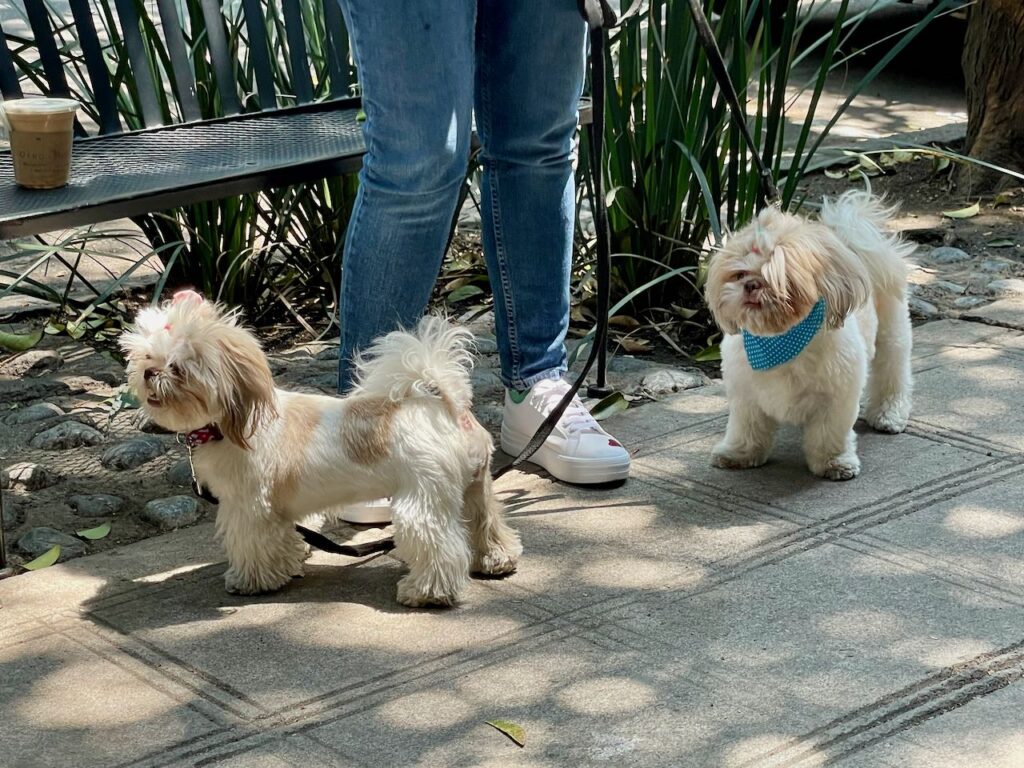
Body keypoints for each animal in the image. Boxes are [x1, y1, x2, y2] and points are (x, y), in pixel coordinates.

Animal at [119, 292, 520, 606]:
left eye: (178, 369)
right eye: (146, 358)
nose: (150, 374)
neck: (229, 425)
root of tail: (445, 405)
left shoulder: (248, 507)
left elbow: (252, 543)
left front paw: (251, 581)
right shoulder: (276, 510)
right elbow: (285, 535)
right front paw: (291, 561)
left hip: (422, 500)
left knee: (439, 549)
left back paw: (425, 592)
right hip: (475, 489)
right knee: (485, 524)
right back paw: (495, 559)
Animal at [704, 192, 913, 481]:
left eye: (780, 279)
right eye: (739, 274)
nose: (751, 285)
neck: (780, 341)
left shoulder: (836, 396)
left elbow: (829, 433)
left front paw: (833, 462)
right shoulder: (746, 396)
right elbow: (746, 428)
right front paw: (739, 453)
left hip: (892, 332)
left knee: (892, 372)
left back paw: (889, 413)